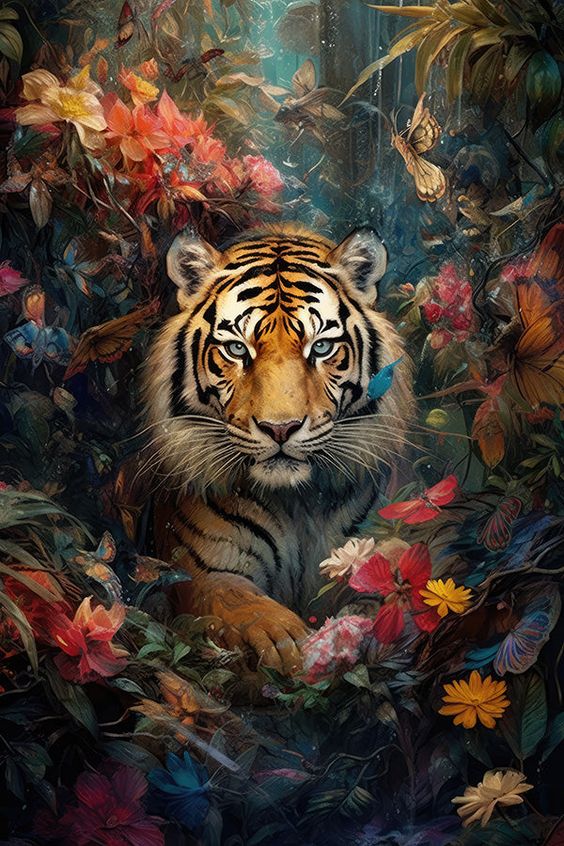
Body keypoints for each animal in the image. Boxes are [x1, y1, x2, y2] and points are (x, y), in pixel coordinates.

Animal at [142, 225, 413, 674]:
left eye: (320, 348)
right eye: (237, 349)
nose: (280, 428)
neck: (298, 502)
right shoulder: (203, 569)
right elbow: (236, 599)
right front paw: (283, 639)